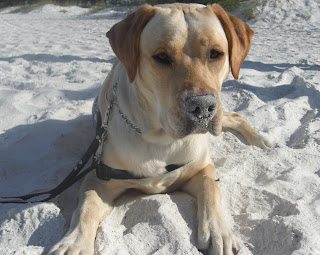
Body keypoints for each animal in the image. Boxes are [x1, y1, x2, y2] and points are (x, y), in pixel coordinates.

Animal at [48, 3, 272, 255]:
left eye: (216, 54)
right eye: (162, 57)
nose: (202, 107)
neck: (162, 140)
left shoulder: (201, 167)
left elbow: (211, 189)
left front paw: (218, 231)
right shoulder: (98, 179)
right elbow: (86, 207)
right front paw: (75, 243)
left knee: (235, 116)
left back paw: (260, 139)